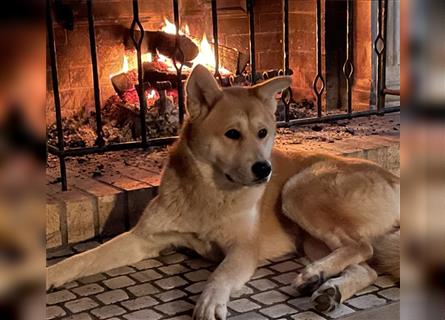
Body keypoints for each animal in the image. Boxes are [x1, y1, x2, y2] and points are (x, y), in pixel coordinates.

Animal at [46, 65, 398, 320]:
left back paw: (316, 273)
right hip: (310, 235)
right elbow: (83, 258)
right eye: (232, 134)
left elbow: (220, 275)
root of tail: (393, 178)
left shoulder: (242, 249)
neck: (210, 193)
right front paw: (51, 274)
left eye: (263, 132)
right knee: (365, 266)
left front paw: (210, 300)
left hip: (298, 191)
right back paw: (327, 287)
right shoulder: (142, 240)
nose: (264, 169)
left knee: (361, 247)